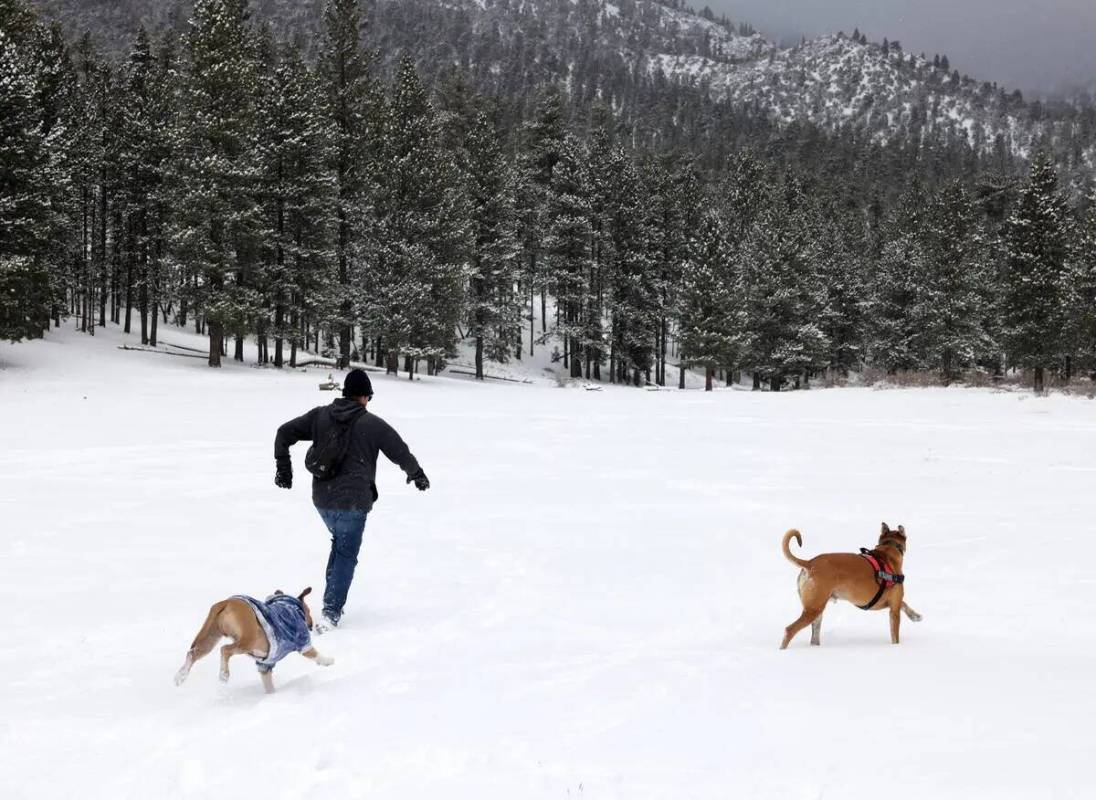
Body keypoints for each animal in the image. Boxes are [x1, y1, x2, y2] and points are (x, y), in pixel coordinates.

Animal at [780, 523, 925, 648]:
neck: (887, 550)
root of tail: (810, 563)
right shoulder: (894, 610)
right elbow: (895, 634)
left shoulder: (892, 602)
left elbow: (904, 604)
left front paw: (915, 616)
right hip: (813, 609)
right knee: (789, 630)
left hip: (816, 610)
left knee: (813, 635)